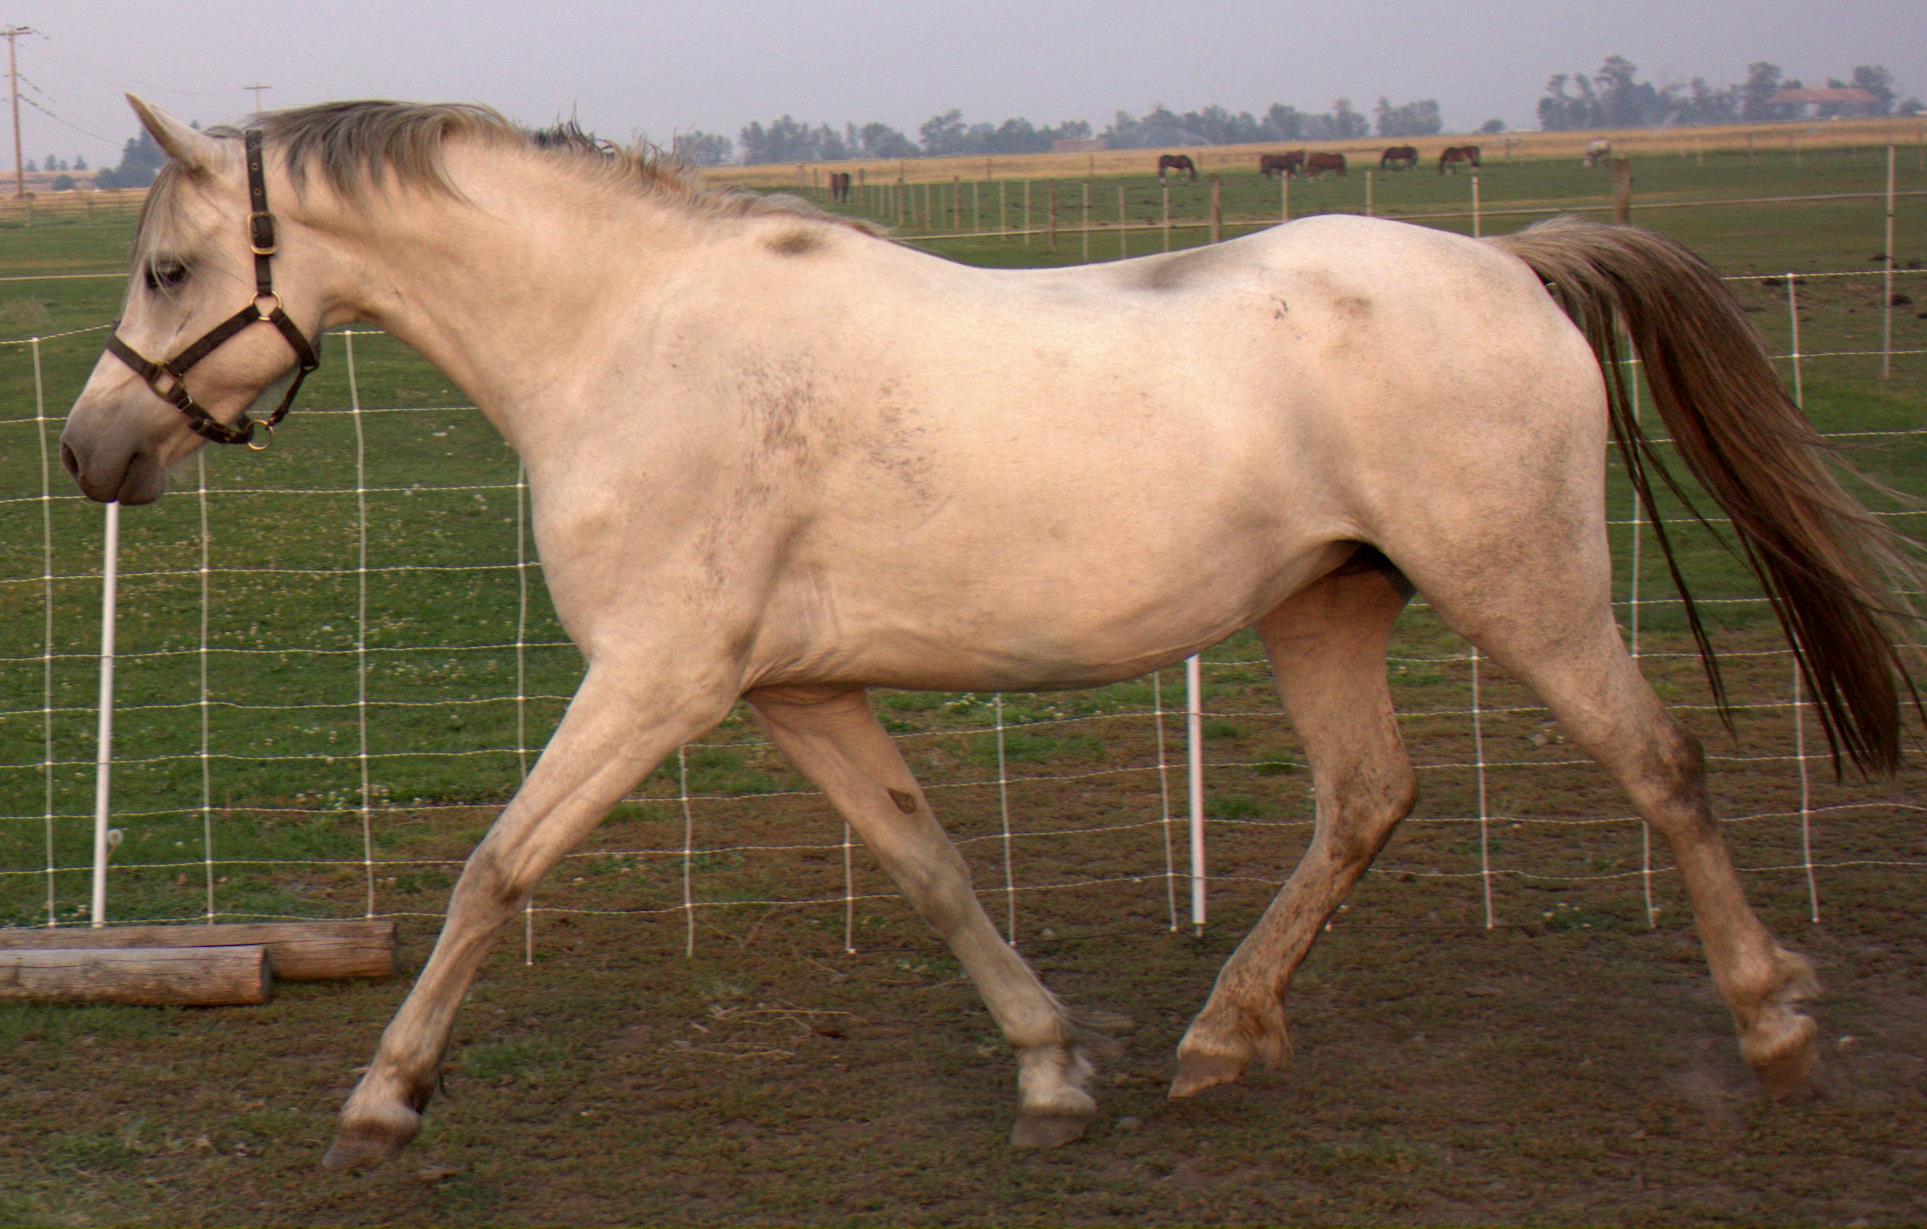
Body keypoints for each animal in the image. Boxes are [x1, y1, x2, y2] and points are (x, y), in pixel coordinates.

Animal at [60, 101, 1911, 1171]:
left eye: (167, 268)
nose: (89, 451)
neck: (629, 338)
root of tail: (1511, 262)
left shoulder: (655, 680)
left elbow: (494, 869)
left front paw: (381, 1100)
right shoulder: (796, 691)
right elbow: (929, 865)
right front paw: (1050, 1068)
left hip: (1521, 587)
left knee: (1658, 766)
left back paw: (1776, 1027)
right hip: (1323, 603)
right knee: (1366, 799)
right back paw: (1218, 1040)